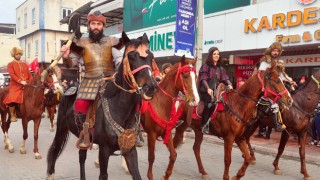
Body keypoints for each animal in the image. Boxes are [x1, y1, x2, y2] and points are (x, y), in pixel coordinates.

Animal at [46, 32, 158, 180]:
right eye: (131, 57)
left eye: (151, 56)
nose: (150, 87)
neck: (120, 109)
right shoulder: (104, 150)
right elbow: (103, 175)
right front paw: (65, 51)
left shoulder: (130, 150)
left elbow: (137, 175)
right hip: (61, 128)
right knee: (54, 151)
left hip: (83, 138)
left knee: (81, 156)